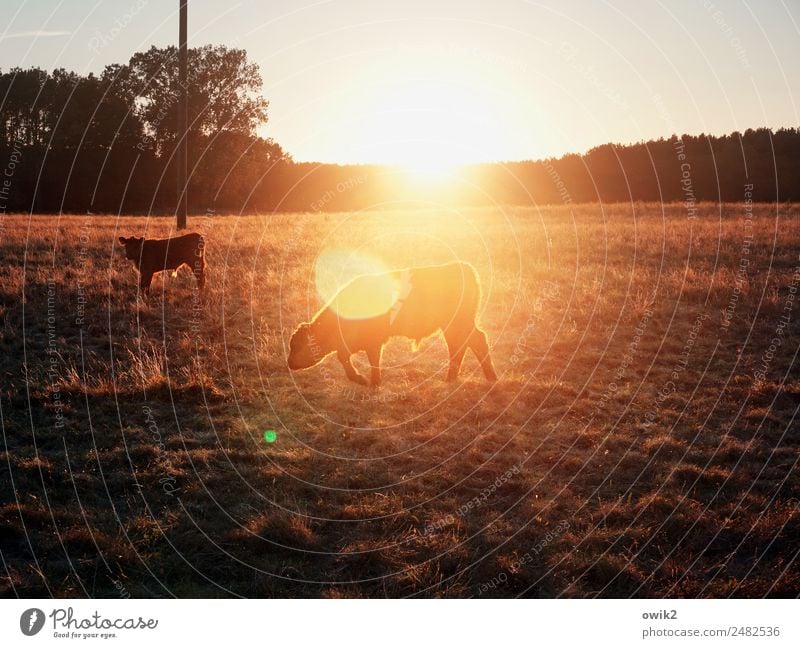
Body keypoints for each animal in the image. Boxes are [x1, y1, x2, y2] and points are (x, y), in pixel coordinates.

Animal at [288, 262, 500, 388]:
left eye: (297, 345)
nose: (289, 363)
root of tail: (463, 267)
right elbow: (345, 358)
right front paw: (364, 380)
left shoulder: (373, 342)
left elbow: (370, 360)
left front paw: (371, 382)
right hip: (453, 326)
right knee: (463, 345)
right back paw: (456, 379)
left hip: (458, 324)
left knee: (473, 342)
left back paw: (486, 378)